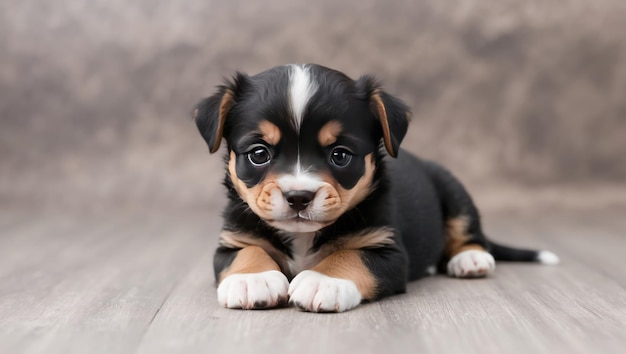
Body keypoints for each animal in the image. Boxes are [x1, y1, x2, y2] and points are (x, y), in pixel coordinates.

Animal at [193, 63, 560, 312]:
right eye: (259, 154)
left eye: (340, 155)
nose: (299, 197)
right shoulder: (232, 241)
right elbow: (247, 253)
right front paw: (252, 279)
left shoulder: (388, 251)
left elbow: (350, 257)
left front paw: (322, 281)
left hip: (452, 189)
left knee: (469, 230)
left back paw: (470, 259)